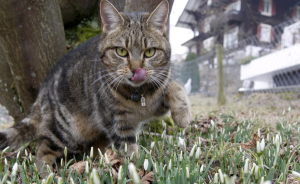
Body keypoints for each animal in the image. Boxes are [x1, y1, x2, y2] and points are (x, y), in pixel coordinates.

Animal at [0, 0, 189, 172]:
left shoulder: (158, 104)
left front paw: (183, 116)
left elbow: (175, 86)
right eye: (121, 51)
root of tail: (42, 94)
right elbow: (128, 147)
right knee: (42, 150)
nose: (137, 70)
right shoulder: (117, 122)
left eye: (150, 52)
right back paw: (47, 174)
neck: (139, 94)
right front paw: (136, 168)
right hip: (66, 131)